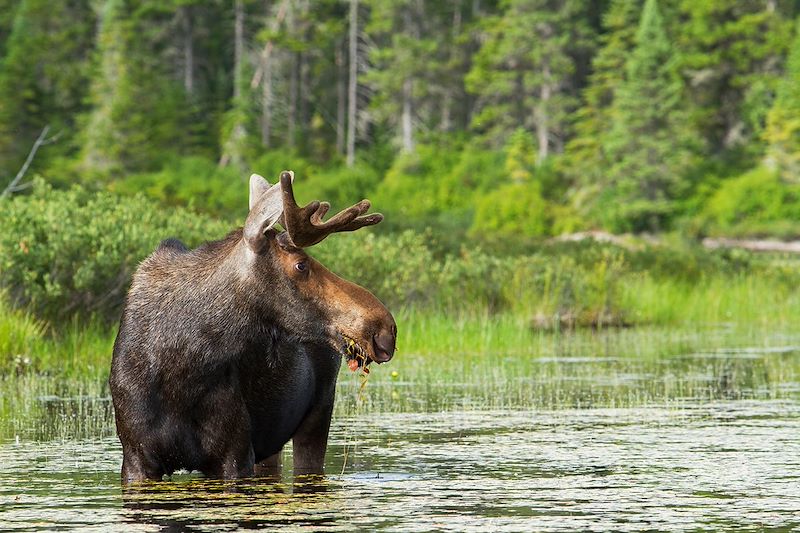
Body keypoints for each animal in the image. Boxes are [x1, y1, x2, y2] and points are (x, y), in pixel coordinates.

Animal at [109, 170, 396, 482]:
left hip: (318, 413)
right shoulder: (136, 458)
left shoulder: (235, 452)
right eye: (301, 265)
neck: (178, 365)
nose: (385, 327)